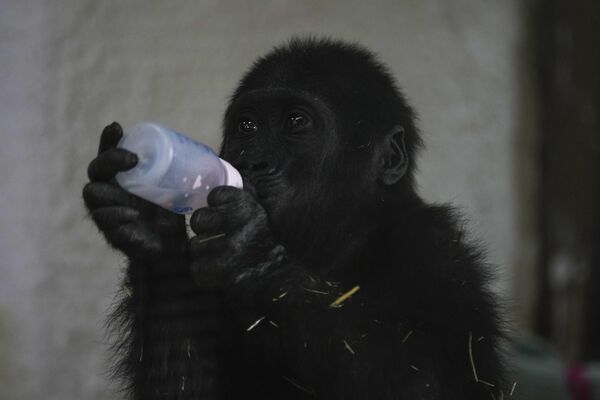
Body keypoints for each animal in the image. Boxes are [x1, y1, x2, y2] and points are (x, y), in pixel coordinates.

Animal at [84, 38, 504, 400]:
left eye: (296, 122)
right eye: (247, 126)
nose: (254, 162)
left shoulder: (437, 255)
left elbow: (428, 382)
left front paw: (253, 259)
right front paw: (151, 225)